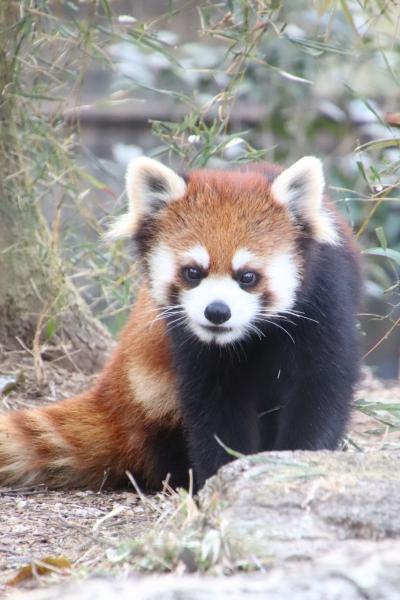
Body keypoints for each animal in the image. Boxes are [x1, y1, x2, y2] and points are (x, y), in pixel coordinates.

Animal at [0, 156, 362, 492]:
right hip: (148, 387)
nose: (217, 312)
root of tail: (110, 393)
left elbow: (321, 388)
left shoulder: (327, 300)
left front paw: (298, 457)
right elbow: (213, 410)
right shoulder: (190, 344)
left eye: (247, 277)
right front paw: (223, 473)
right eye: (193, 272)